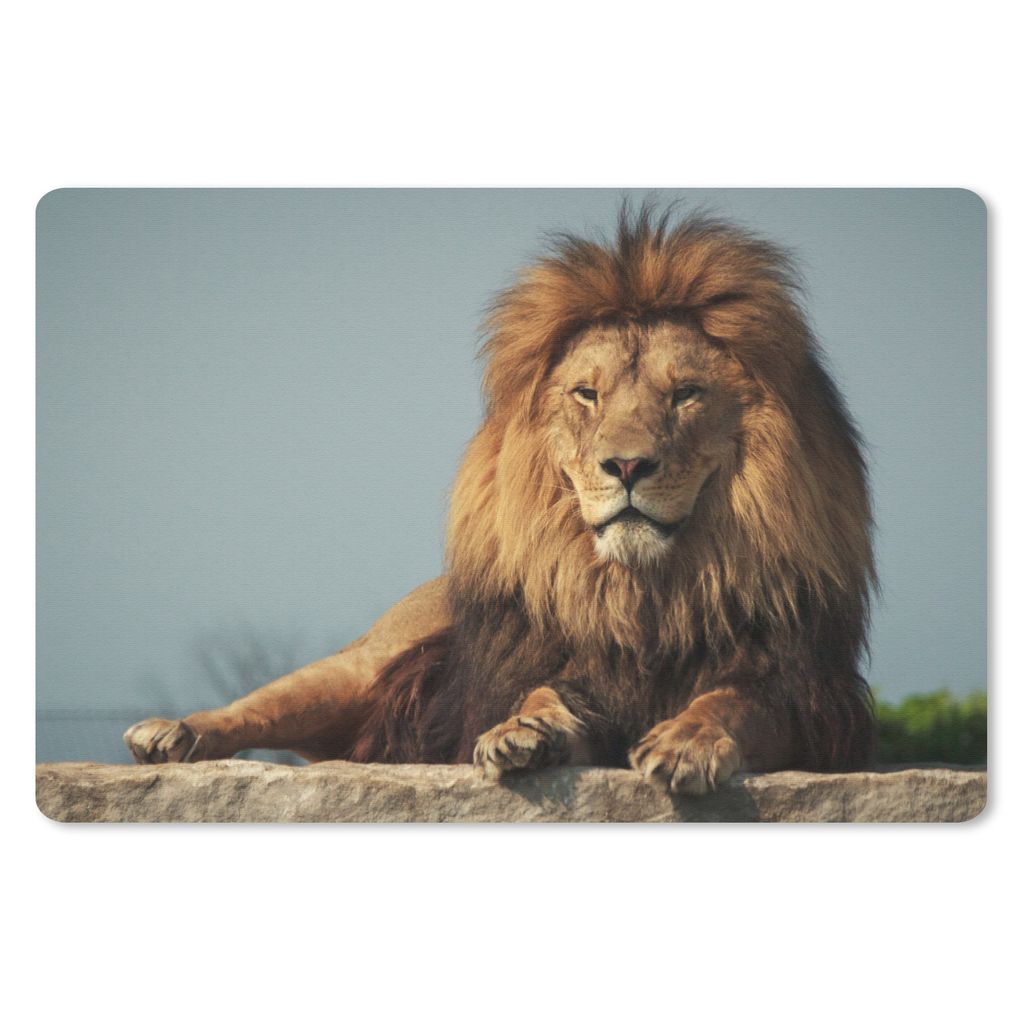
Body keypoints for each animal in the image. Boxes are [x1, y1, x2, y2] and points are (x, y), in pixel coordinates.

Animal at [124, 205, 876, 794]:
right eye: (587, 394)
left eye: (685, 394)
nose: (628, 464)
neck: (642, 594)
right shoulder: (560, 671)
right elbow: (541, 692)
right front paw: (522, 730)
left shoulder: (808, 703)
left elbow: (732, 703)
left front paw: (687, 741)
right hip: (358, 666)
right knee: (259, 704)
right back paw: (170, 734)